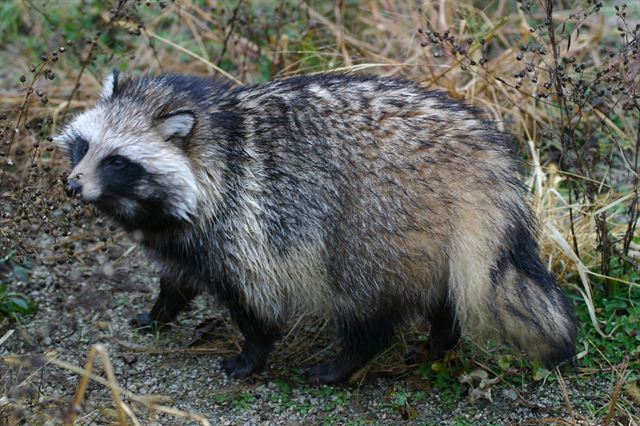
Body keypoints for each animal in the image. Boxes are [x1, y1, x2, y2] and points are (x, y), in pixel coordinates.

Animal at [60, 71, 576, 384]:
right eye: (84, 146)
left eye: (117, 161)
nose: (72, 185)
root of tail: (481, 153)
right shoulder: (185, 234)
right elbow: (179, 275)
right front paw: (159, 310)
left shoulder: (242, 219)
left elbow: (256, 300)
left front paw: (250, 356)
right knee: (444, 289)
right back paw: (439, 339)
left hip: (376, 220)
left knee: (364, 300)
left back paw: (345, 361)